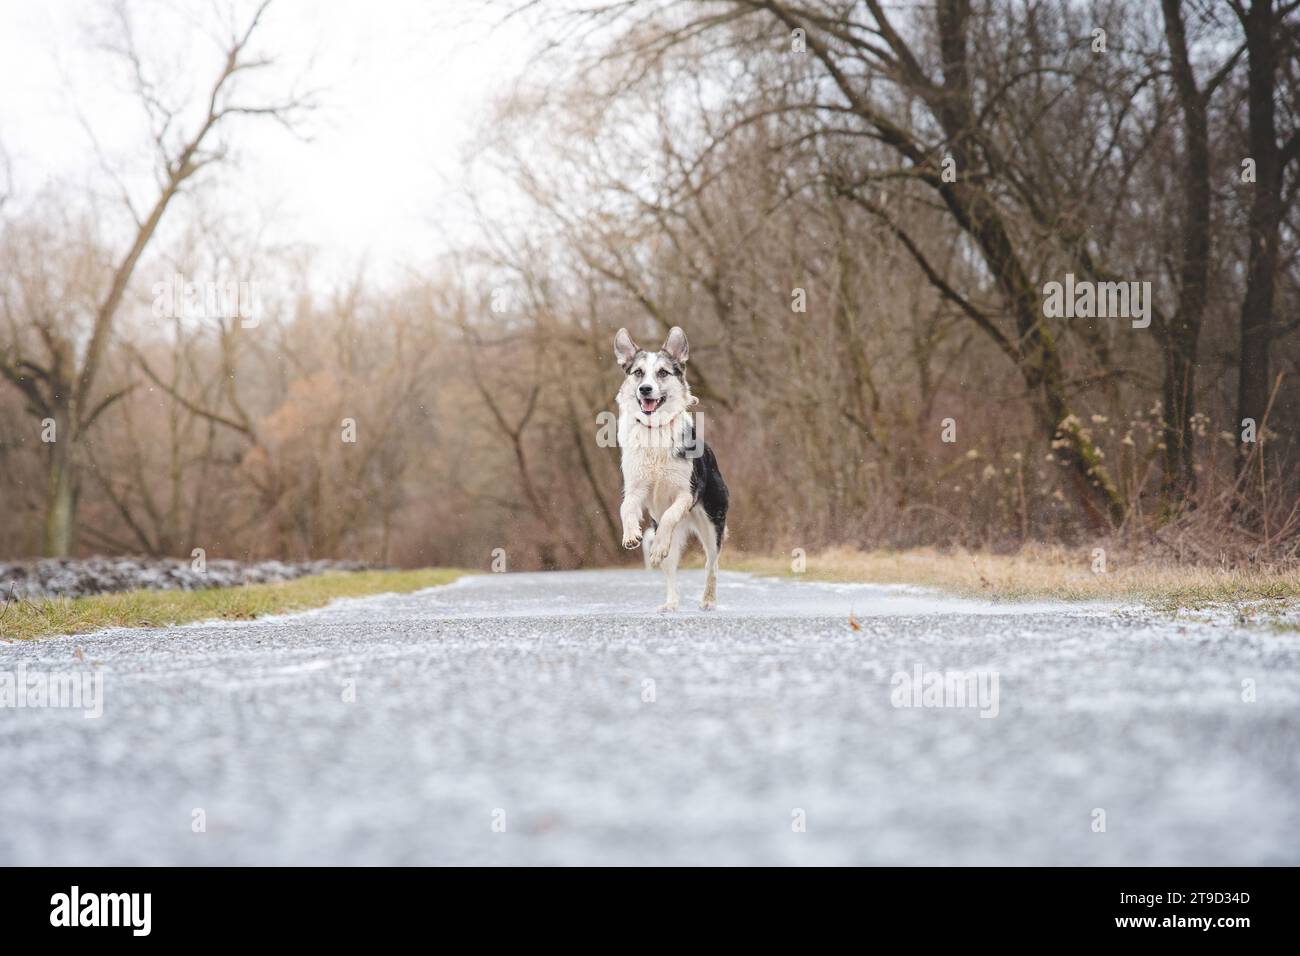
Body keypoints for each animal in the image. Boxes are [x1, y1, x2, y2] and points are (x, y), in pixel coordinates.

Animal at [611, 327, 728, 613]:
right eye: (638, 372)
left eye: (663, 372)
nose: (645, 389)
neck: (655, 430)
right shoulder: (635, 490)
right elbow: (625, 509)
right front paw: (630, 534)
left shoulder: (686, 494)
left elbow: (668, 516)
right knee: (670, 568)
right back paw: (671, 602)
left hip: (712, 525)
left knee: (711, 564)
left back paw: (708, 599)